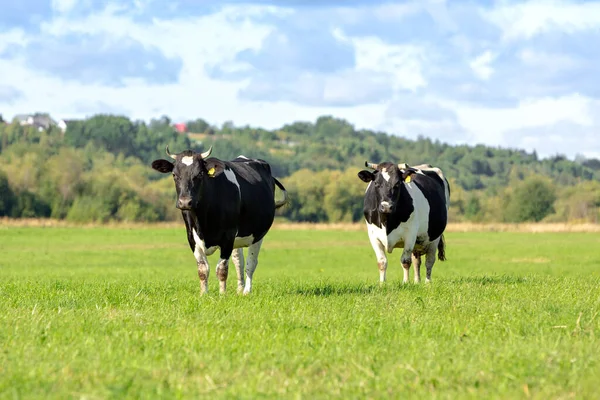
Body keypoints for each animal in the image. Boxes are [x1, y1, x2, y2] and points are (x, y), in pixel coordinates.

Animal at [152, 145, 288, 296]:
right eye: (174, 174)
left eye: (200, 174)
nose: (185, 202)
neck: (203, 222)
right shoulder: (192, 237)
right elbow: (202, 269)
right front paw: (203, 294)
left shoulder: (228, 236)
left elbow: (222, 269)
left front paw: (222, 294)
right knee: (238, 261)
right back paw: (239, 289)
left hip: (258, 234)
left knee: (250, 263)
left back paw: (246, 291)